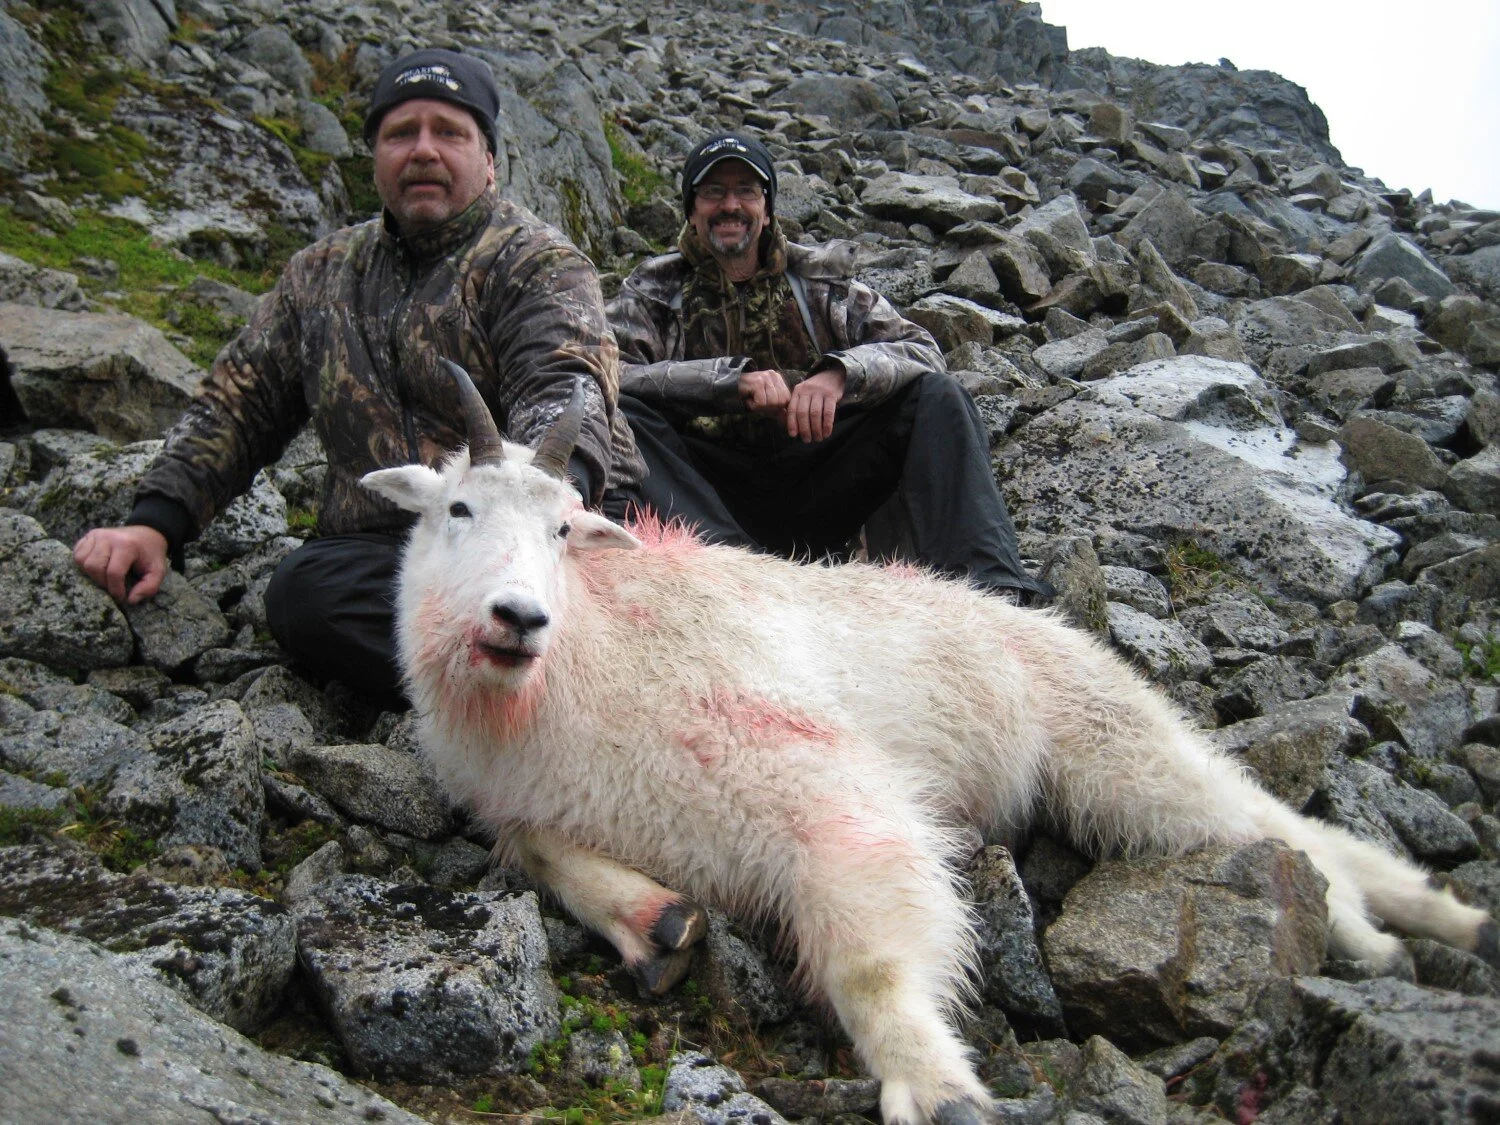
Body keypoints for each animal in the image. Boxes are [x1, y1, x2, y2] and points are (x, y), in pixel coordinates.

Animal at [361, 363, 1497, 1125]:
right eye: (457, 506)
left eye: (564, 528)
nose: (517, 619)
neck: (571, 679)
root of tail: (1051, 628)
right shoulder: (528, 802)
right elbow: (543, 851)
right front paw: (657, 922)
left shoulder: (812, 772)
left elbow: (872, 943)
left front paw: (937, 1086)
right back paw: (1432, 925)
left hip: (1110, 748)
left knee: (1261, 824)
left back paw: (1387, 934)